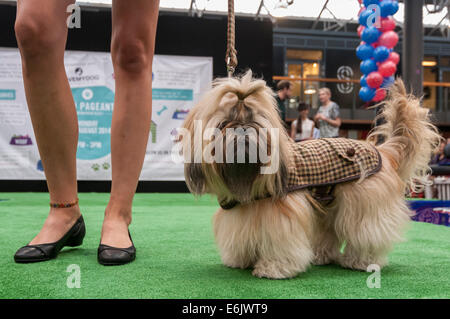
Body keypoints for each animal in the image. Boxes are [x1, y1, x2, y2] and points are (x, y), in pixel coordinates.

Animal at [178, 70, 440, 280]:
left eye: (255, 123)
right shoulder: (241, 216)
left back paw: (361, 261)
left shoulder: (282, 217)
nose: (242, 130)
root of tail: (382, 151)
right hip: (328, 207)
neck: (247, 178)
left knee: (367, 235)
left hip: (362, 210)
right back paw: (322, 256)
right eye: (224, 124)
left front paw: (273, 268)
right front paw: (239, 259)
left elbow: (280, 243)